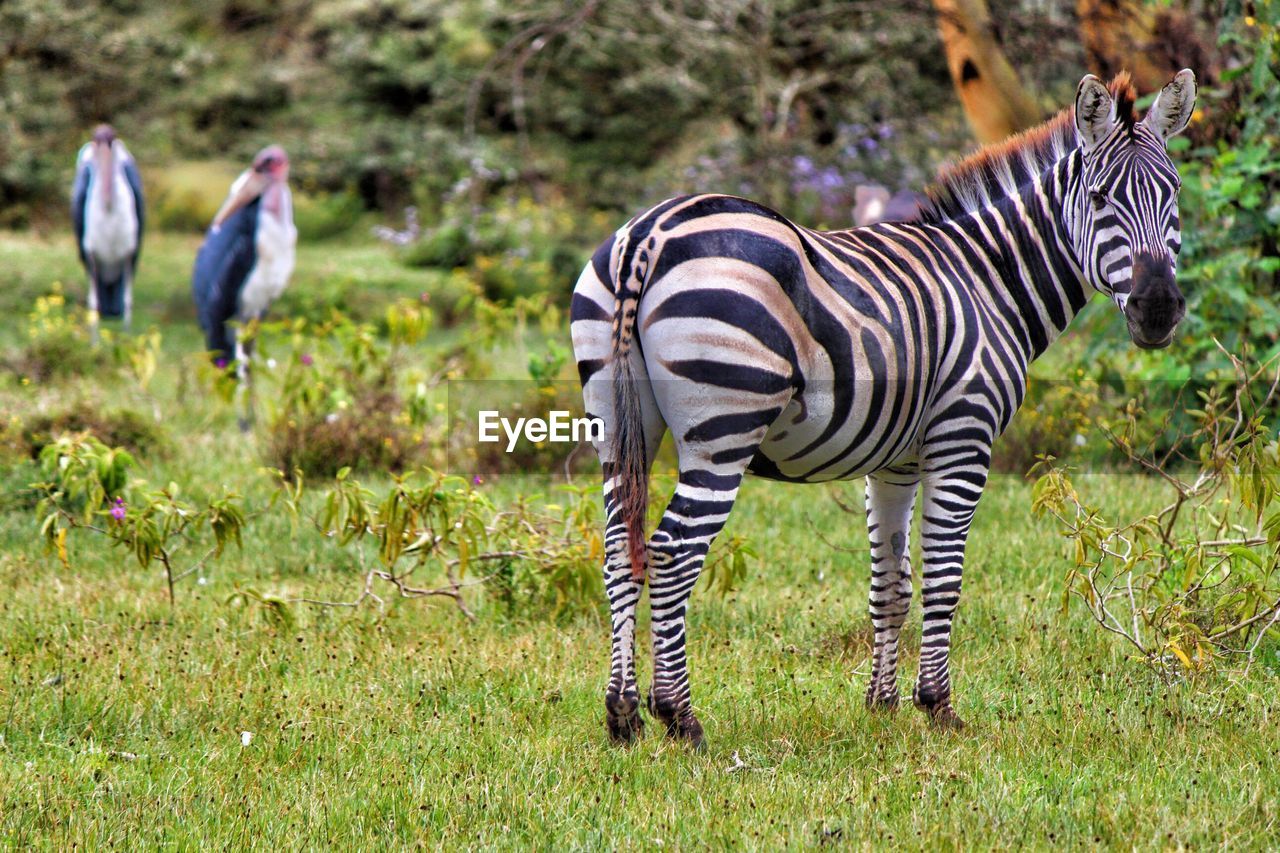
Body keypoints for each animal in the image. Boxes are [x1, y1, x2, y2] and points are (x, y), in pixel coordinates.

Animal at [576, 68, 1192, 742]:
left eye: (1174, 194)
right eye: (1102, 199)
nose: (1158, 310)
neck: (990, 280)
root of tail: (648, 236)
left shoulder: (894, 460)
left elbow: (890, 585)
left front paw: (882, 704)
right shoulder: (963, 437)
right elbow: (943, 578)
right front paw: (938, 706)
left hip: (617, 424)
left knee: (620, 551)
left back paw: (622, 714)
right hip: (723, 430)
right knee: (672, 551)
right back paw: (679, 717)